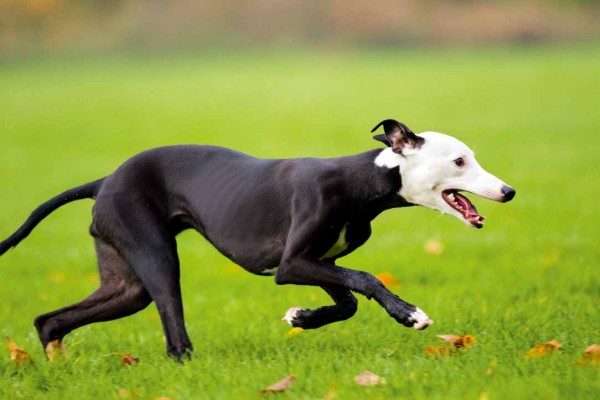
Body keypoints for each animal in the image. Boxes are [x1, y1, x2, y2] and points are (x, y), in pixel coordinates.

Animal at [0, 119, 516, 360]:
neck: (360, 181)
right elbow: (366, 280)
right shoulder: (292, 265)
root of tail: (104, 181)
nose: (508, 192)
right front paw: (408, 314)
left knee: (50, 321)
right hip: (158, 261)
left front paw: (304, 318)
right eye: (459, 161)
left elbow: (348, 299)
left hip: (125, 286)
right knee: (174, 337)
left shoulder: (320, 261)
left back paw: (58, 364)